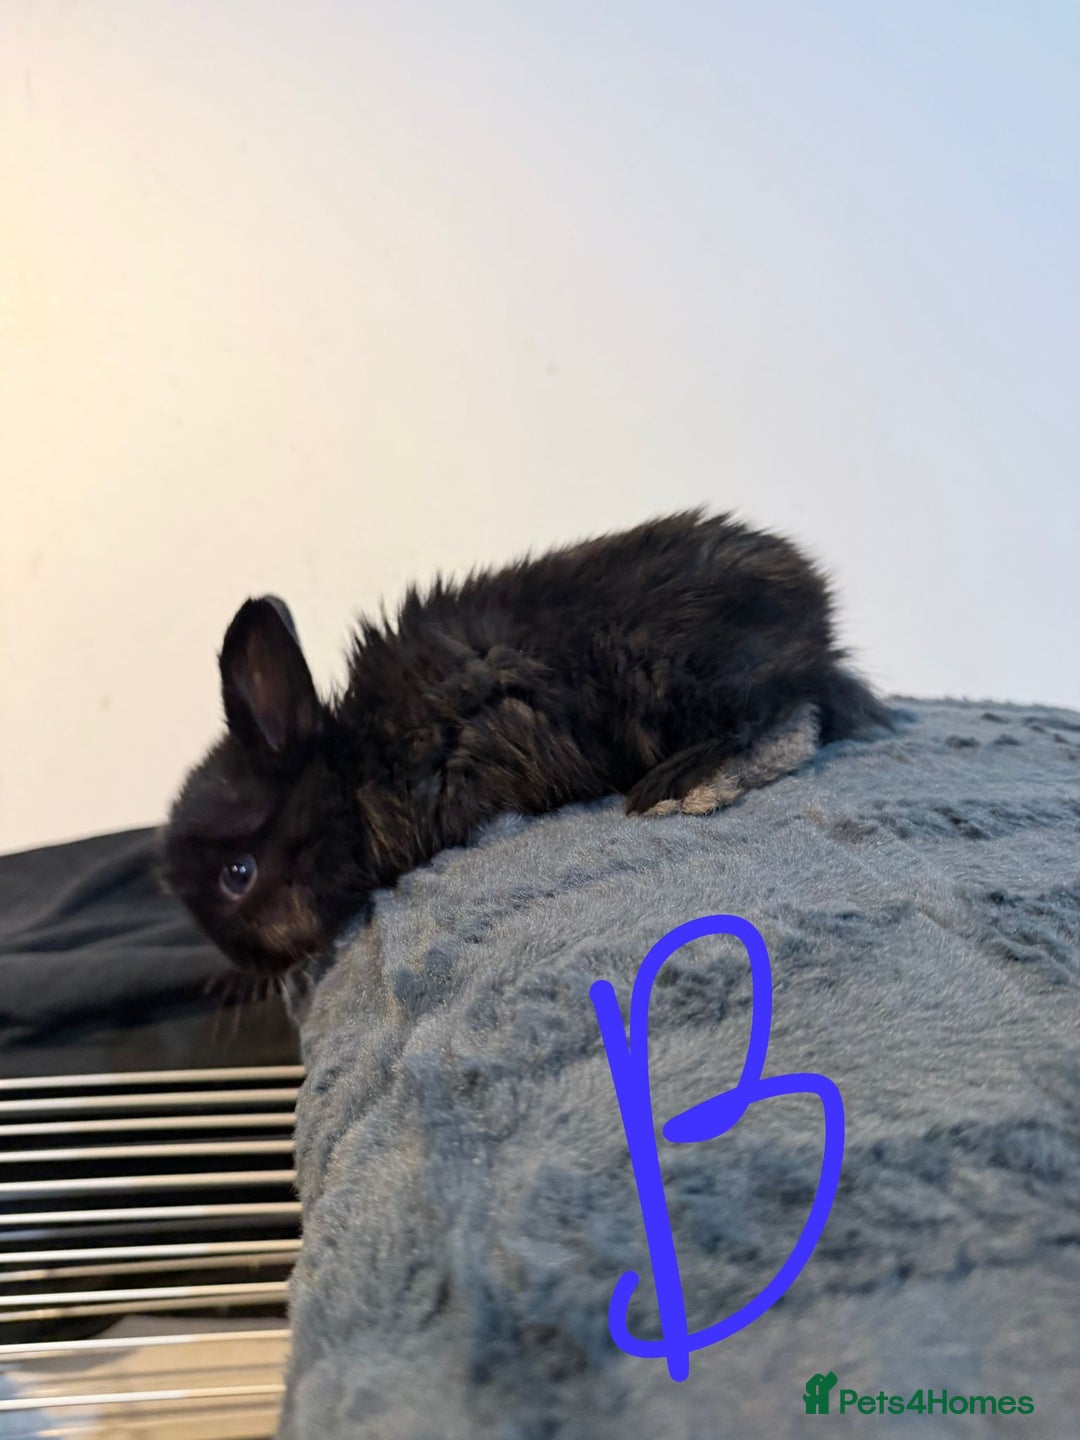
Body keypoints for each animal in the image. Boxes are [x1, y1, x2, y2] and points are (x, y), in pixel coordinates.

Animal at [160, 510, 890, 973]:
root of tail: (816, 623)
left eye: (237, 876)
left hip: (678, 676)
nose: (242, 962)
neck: (357, 767)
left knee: (784, 720)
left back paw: (686, 788)